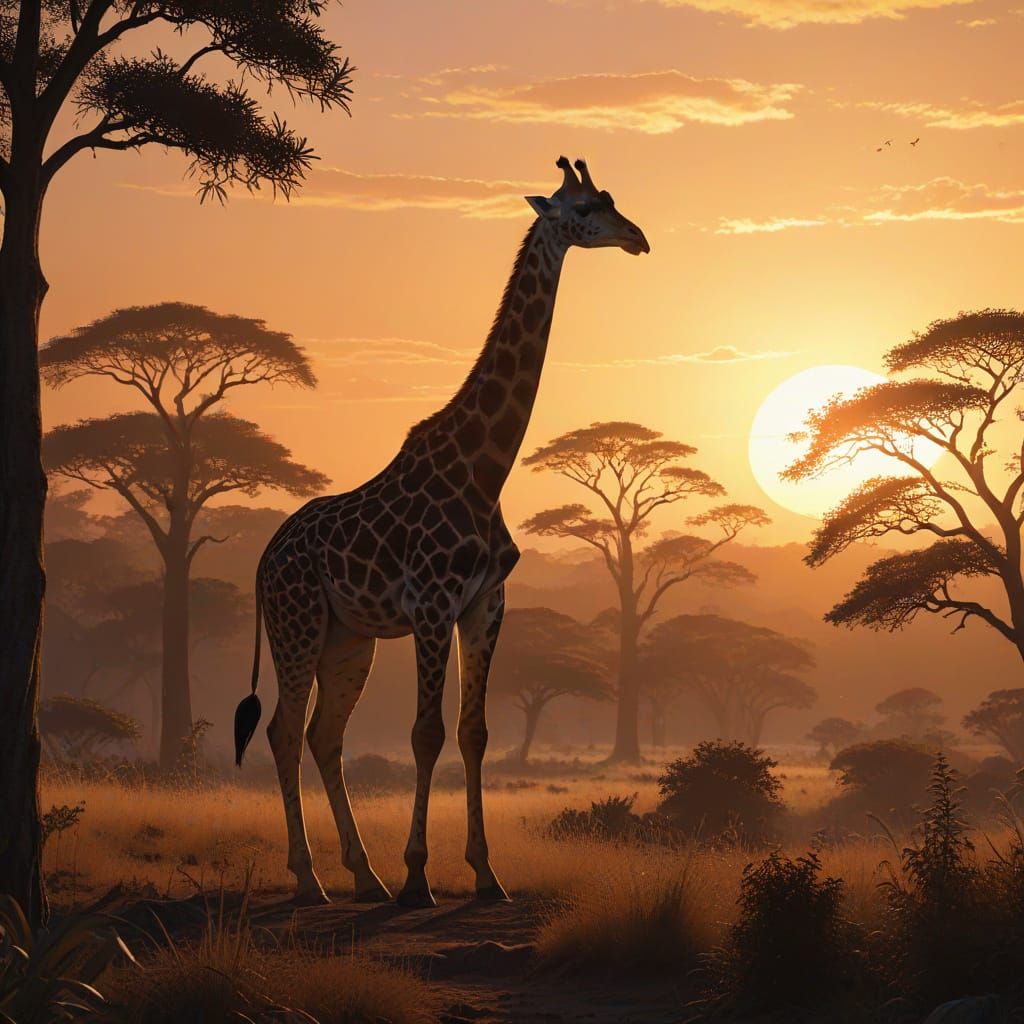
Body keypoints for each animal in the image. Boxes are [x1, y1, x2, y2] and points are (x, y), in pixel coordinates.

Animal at [234, 156, 649, 908]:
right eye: (583, 210)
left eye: (611, 199)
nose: (638, 238)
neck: (485, 469)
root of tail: (262, 561)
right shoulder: (430, 603)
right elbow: (425, 733)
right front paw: (419, 876)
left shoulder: (485, 603)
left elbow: (474, 731)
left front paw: (486, 874)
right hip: (297, 623)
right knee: (282, 730)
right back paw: (311, 879)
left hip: (348, 637)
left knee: (322, 735)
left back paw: (362, 875)